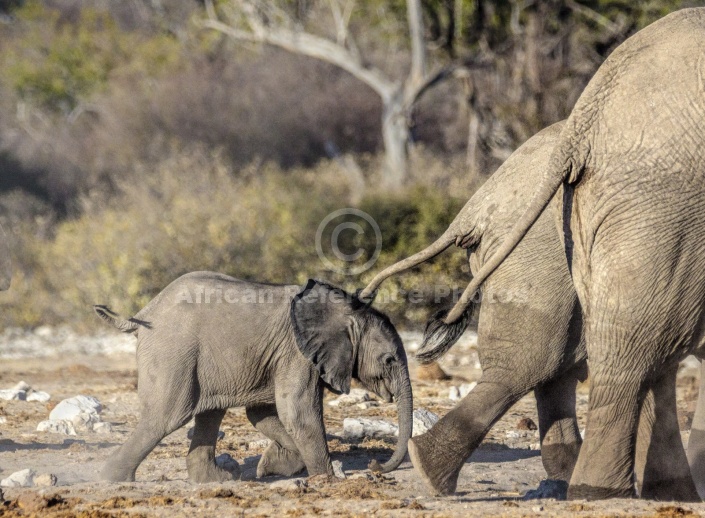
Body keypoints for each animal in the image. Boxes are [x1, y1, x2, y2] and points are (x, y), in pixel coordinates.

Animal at [95, 276, 412, 484]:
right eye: (389, 360)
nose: (375, 465)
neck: (346, 309)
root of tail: (144, 314)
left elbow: (263, 414)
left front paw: (270, 468)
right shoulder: (296, 353)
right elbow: (297, 413)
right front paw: (329, 481)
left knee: (209, 413)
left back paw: (220, 479)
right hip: (174, 352)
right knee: (167, 416)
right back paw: (112, 478)